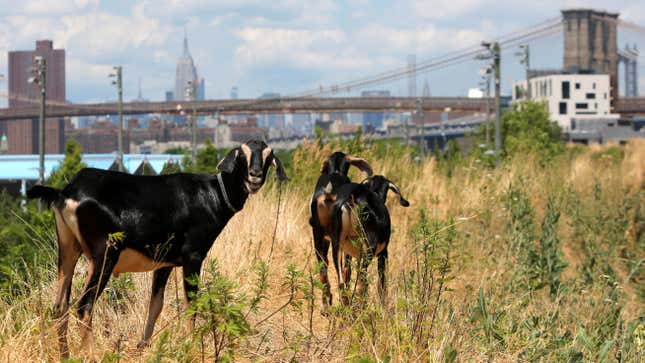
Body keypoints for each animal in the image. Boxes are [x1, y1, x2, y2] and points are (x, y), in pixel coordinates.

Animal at [26, 141, 286, 360]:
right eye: (241, 154)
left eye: (268, 156)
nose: (255, 176)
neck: (211, 194)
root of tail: (66, 192)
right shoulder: (193, 257)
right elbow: (192, 303)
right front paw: (191, 346)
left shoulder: (165, 263)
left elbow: (156, 304)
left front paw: (144, 346)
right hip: (104, 255)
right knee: (83, 306)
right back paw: (91, 355)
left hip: (68, 250)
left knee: (60, 306)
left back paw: (65, 355)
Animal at [308, 151, 370, 312]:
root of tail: (329, 193)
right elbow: (347, 270)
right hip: (339, 241)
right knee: (342, 276)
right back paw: (345, 304)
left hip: (318, 236)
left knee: (323, 267)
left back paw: (326, 305)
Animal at [328, 175, 408, 306]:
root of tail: (352, 196)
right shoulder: (383, 253)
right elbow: (381, 282)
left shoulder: (349, 254)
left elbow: (348, 273)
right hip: (369, 250)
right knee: (362, 279)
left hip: (338, 247)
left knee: (342, 279)